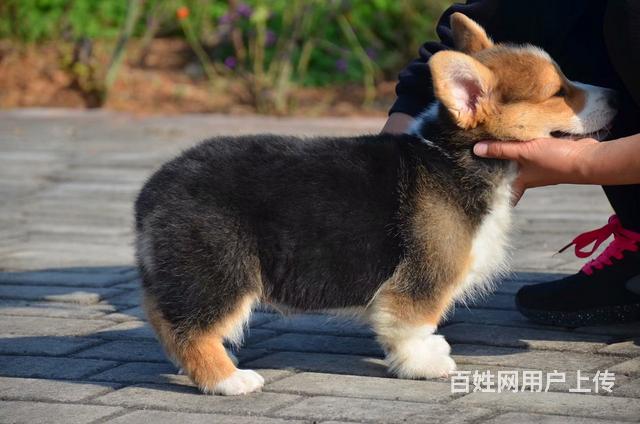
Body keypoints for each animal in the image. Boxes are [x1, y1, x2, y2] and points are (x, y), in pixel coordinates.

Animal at [134, 14, 616, 398]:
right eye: (559, 92)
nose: (616, 97)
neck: (452, 154)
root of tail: (153, 191)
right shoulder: (423, 279)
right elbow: (413, 323)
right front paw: (424, 363)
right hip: (222, 272)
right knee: (192, 332)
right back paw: (229, 380)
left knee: (164, 319)